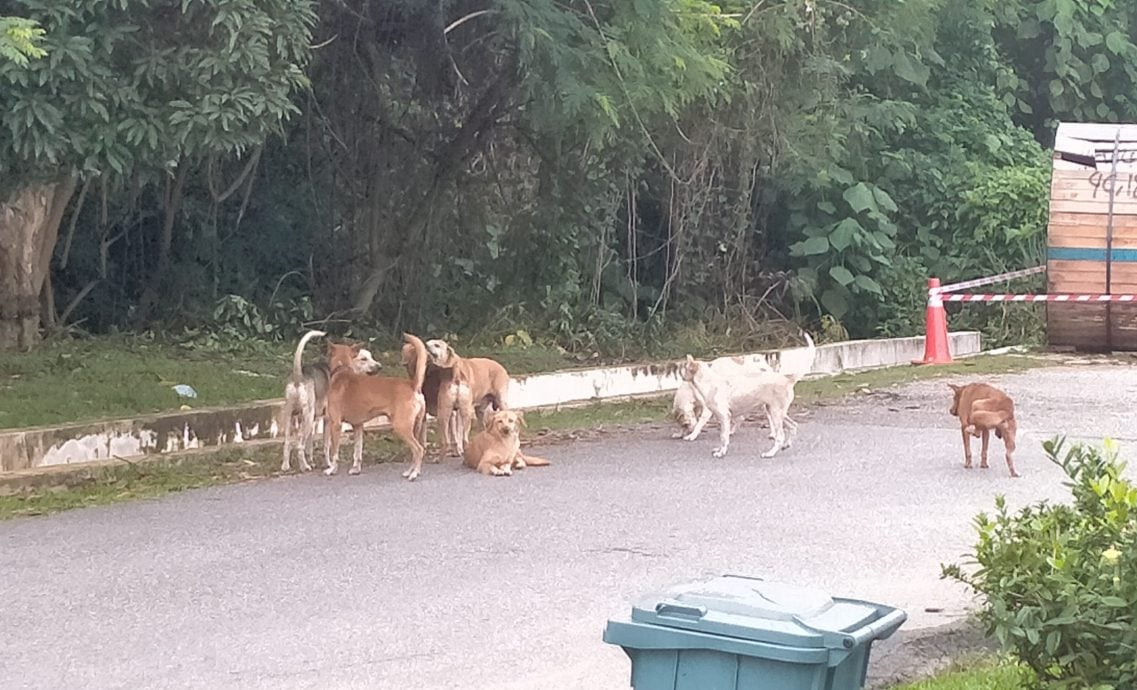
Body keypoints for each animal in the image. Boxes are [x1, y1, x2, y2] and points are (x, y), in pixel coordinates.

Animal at [279, 329, 382, 475]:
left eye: (371, 356)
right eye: (364, 359)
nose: (380, 366)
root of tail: (299, 375)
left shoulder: (316, 419)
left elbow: (310, 445)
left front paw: (312, 461)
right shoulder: (328, 420)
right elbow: (326, 447)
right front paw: (328, 464)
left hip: (291, 417)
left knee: (287, 443)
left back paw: (286, 465)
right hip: (307, 417)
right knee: (299, 445)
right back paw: (304, 467)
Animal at [325, 334, 429, 479]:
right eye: (363, 359)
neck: (342, 370)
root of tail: (413, 385)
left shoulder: (336, 424)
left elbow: (334, 453)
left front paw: (332, 469)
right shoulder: (358, 426)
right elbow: (357, 451)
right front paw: (356, 469)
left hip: (401, 426)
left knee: (418, 449)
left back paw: (413, 474)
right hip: (415, 426)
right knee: (416, 451)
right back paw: (410, 471)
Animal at [677, 331, 814, 456]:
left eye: (684, 368)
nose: (680, 375)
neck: (709, 382)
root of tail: (787, 380)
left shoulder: (724, 416)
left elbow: (723, 436)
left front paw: (721, 452)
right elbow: (724, 434)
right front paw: (719, 449)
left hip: (776, 413)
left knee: (780, 435)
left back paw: (770, 453)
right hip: (776, 412)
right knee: (793, 425)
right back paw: (786, 445)